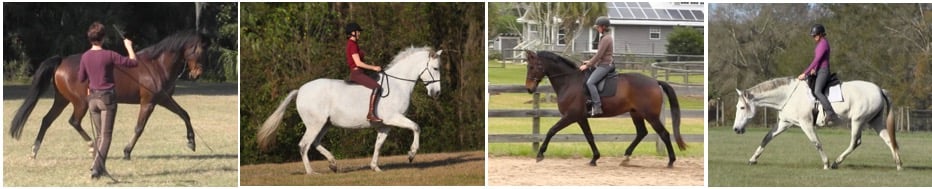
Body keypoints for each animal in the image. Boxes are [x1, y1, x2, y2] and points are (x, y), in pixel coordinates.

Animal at [9, 30, 207, 160]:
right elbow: (139, 128)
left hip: (62, 100)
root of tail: (61, 61)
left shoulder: (164, 99)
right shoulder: (148, 103)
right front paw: (127, 152)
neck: (155, 65)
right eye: (197, 51)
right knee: (73, 121)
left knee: (47, 120)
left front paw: (191, 142)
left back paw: (34, 151)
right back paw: (92, 147)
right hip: (80, 103)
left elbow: (184, 114)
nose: (197, 74)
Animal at [256, 47, 442, 174]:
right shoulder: (394, 118)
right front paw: (411, 154)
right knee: (304, 145)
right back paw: (311, 172)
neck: (398, 84)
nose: (437, 93)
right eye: (436, 68)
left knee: (315, 143)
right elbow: (416, 127)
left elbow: (378, 145)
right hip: (315, 124)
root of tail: (301, 90)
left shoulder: (385, 125)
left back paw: (333, 164)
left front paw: (375, 167)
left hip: (325, 124)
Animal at [524, 51, 684, 168]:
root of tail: (655, 81)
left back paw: (671, 161)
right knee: (641, 133)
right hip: (636, 113)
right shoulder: (581, 117)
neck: (570, 81)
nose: (529, 89)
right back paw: (625, 158)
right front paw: (594, 158)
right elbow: (589, 136)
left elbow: (552, 130)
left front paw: (540, 155)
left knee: (664, 133)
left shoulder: (571, 116)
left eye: (532, 67)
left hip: (650, 115)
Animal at [732, 77, 900, 170]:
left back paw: (836, 163)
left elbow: (816, 143)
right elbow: (766, 139)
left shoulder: (806, 124)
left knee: (855, 142)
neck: (788, 96)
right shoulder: (784, 123)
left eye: (742, 107)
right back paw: (898, 164)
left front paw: (826, 163)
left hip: (857, 121)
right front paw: (753, 159)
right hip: (875, 121)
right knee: (888, 140)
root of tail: (879, 89)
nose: (736, 129)